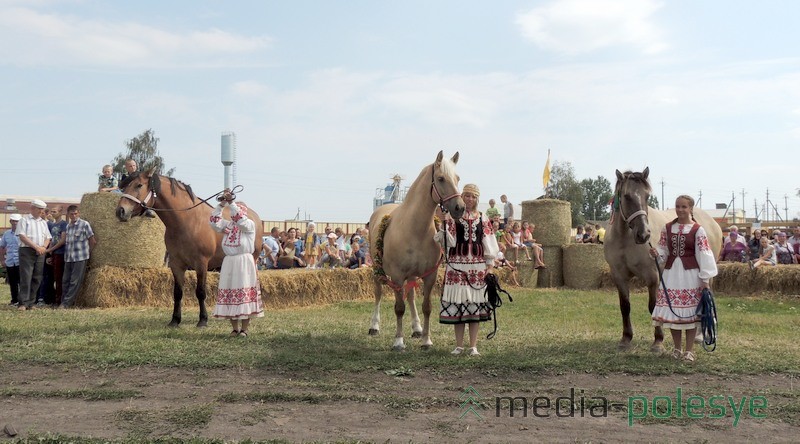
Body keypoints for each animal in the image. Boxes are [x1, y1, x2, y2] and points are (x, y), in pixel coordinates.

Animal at [114, 168, 264, 328]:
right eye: (124, 187)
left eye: (139, 185)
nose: (120, 211)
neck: (187, 221)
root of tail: (255, 217)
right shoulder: (176, 264)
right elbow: (177, 293)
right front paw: (175, 320)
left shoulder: (201, 263)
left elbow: (200, 292)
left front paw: (203, 320)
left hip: (253, 259)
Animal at [370, 152, 466, 350]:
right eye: (441, 178)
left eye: (457, 178)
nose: (460, 208)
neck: (414, 229)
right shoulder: (397, 276)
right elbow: (399, 308)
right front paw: (398, 341)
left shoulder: (429, 276)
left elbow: (426, 307)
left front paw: (426, 340)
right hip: (377, 270)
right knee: (378, 294)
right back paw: (374, 326)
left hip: (412, 275)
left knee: (411, 297)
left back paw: (417, 329)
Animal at [604, 168, 720, 352]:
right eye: (627, 196)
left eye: (647, 196)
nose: (643, 234)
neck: (624, 238)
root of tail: (711, 221)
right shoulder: (619, 276)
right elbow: (625, 306)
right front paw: (626, 338)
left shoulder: (653, 276)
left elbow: (653, 306)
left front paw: (658, 341)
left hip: (707, 273)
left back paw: (701, 335)